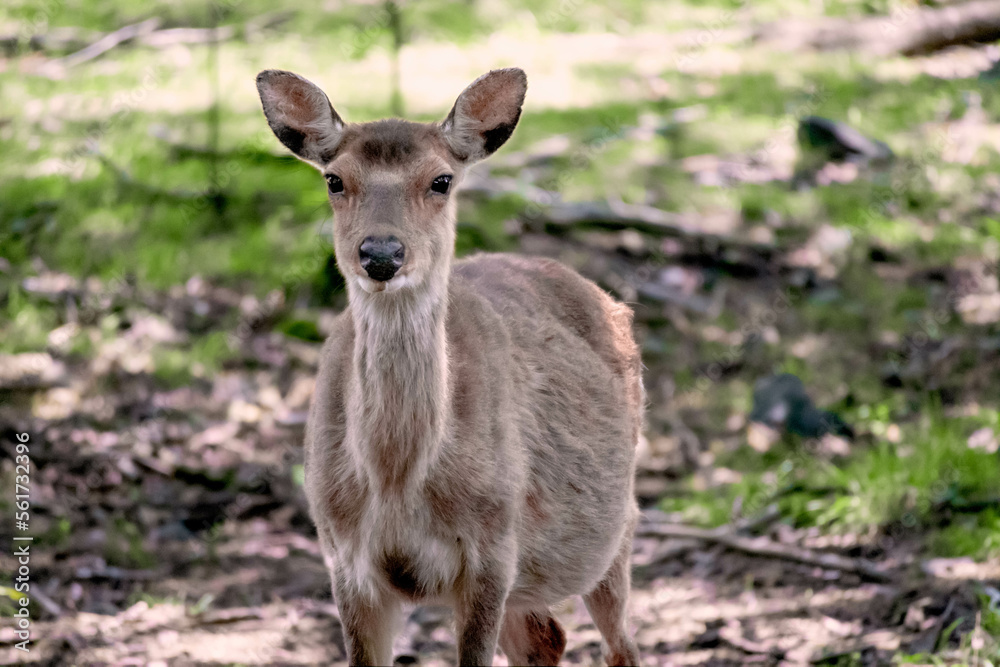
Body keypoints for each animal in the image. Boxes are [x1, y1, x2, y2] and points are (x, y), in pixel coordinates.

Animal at [256, 64, 640, 667]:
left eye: (441, 180)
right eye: (334, 180)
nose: (382, 254)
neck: (398, 480)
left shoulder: (493, 549)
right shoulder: (343, 558)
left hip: (617, 527)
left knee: (620, 643)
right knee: (548, 637)